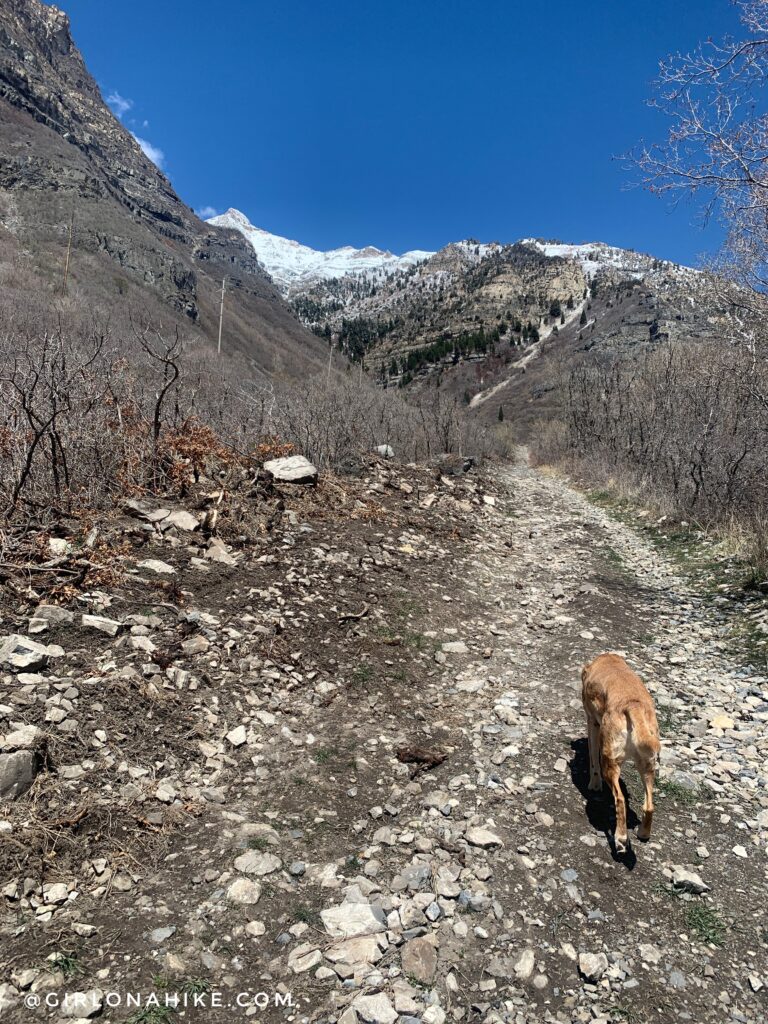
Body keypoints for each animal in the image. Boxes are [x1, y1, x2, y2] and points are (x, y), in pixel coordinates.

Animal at [581, 651, 663, 851]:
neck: (609, 660)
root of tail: (633, 706)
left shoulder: (592, 723)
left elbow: (593, 760)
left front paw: (594, 785)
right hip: (648, 766)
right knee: (649, 806)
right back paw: (643, 833)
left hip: (610, 762)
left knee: (619, 799)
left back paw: (621, 838)